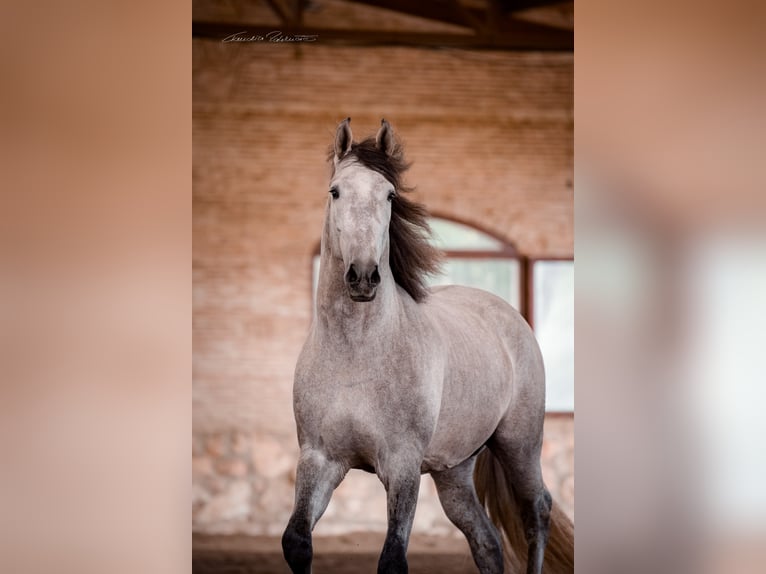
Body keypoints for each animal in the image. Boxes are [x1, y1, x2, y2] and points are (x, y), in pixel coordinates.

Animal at [284, 119, 572, 572]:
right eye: (335, 191)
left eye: (389, 194)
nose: (362, 276)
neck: (357, 353)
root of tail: (508, 317)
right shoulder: (319, 459)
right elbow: (296, 541)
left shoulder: (401, 465)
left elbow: (393, 558)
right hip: (453, 472)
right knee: (487, 541)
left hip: (520, 444)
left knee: (537, 511)